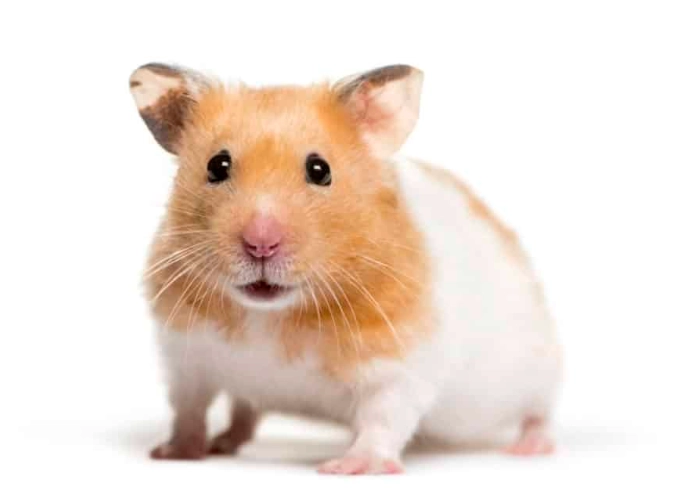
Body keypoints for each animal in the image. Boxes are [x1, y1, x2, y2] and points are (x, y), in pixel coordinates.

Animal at [129, 62, 562, 475]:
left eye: (320, 170)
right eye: (217, 166)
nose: (260, 243)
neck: (268, 316)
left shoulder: (400, 364)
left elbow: (383, 418)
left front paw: (347, 468)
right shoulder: (185, 358)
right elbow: (189, 409)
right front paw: (172, 453)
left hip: (537, 366)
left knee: (540, 409)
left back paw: (531, 447)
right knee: (244, 410)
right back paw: (224, 442)